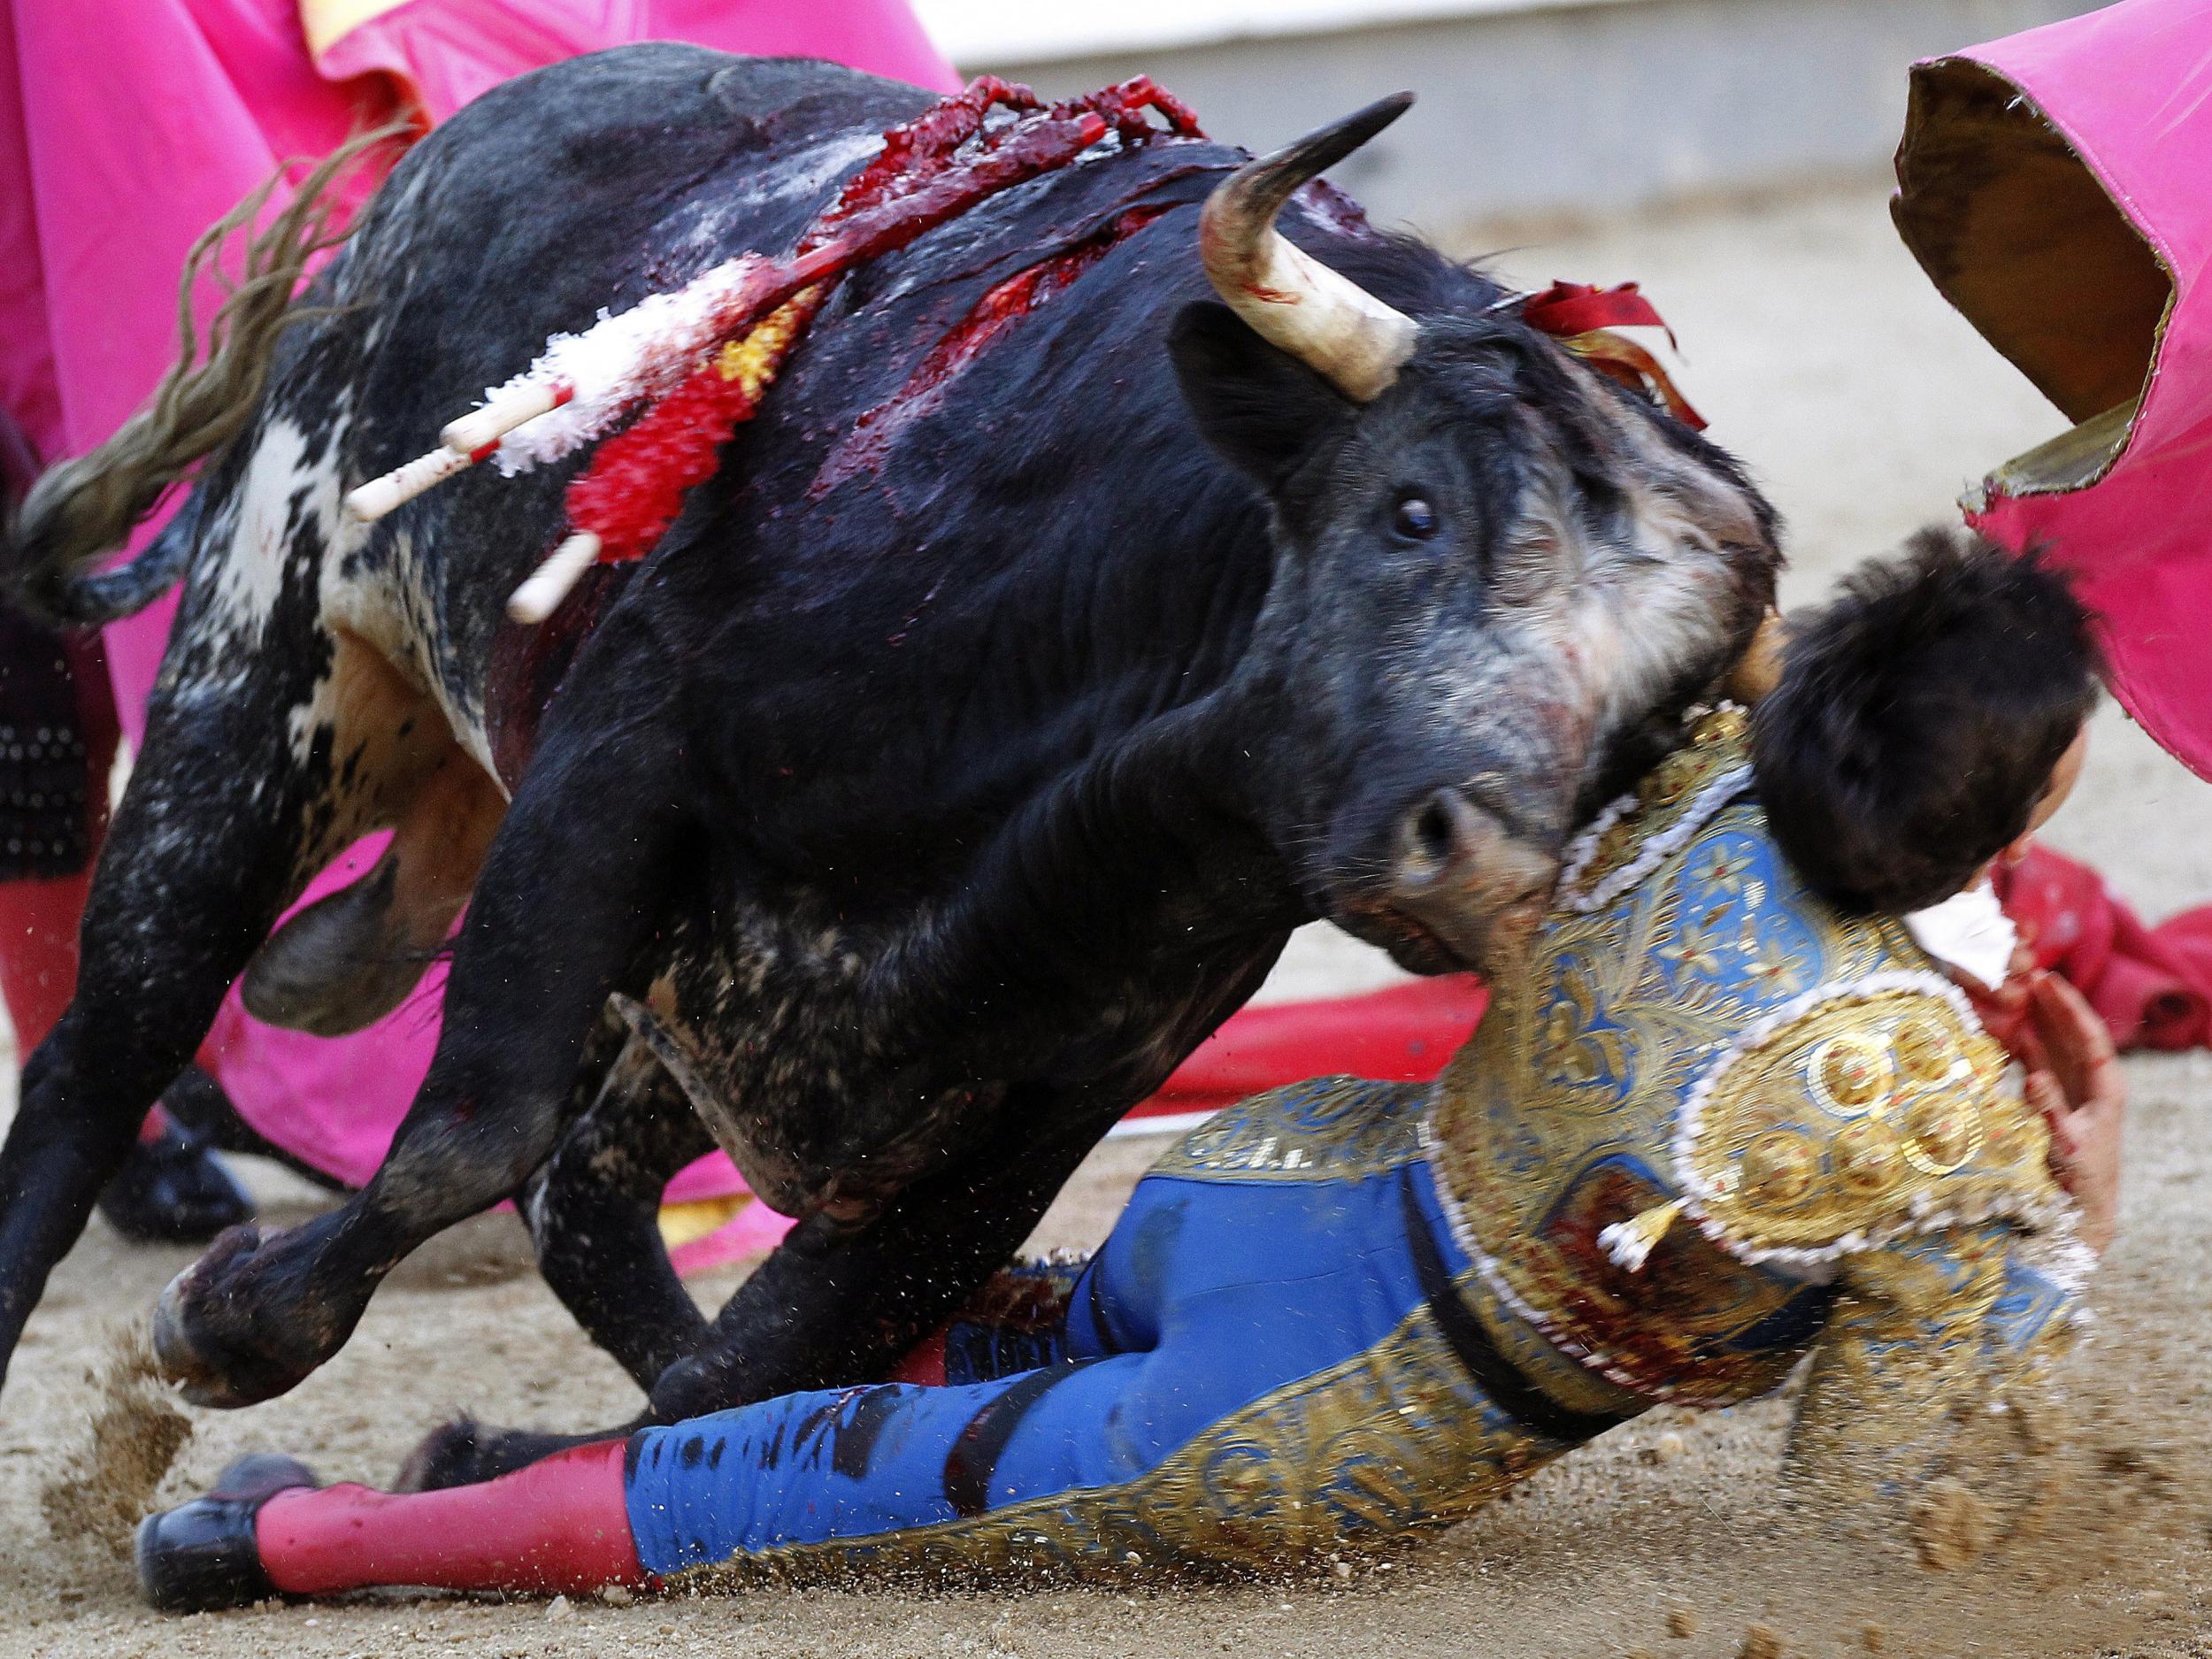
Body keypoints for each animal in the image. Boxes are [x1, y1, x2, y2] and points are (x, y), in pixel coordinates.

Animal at [0, 49, 1778, 1478]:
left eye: (1658, 711)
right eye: (1410, 511)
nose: (1475, 859)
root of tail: (444, 158)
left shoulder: (1072, 1078)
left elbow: (785, 1338)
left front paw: (511, 1457)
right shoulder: (621, 758)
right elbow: (472, 1125)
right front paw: (227, 1324)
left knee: (588, 1201)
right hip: (258, 691)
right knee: (107, 1056)